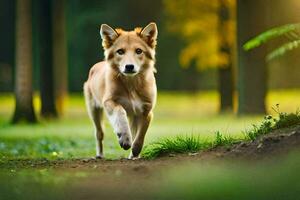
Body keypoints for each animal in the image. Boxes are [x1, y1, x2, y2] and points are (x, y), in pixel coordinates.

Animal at [82, 22, 157, 159]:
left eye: (139, 51)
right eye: (120, 51)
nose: (129, 67)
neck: (131, 84)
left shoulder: (146, 110)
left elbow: (141, 134)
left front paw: (135, 151)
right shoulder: (109, 101)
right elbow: (120, 112)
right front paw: (124, 137)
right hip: (93, 109)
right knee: (99, 133)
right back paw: (100, 154)